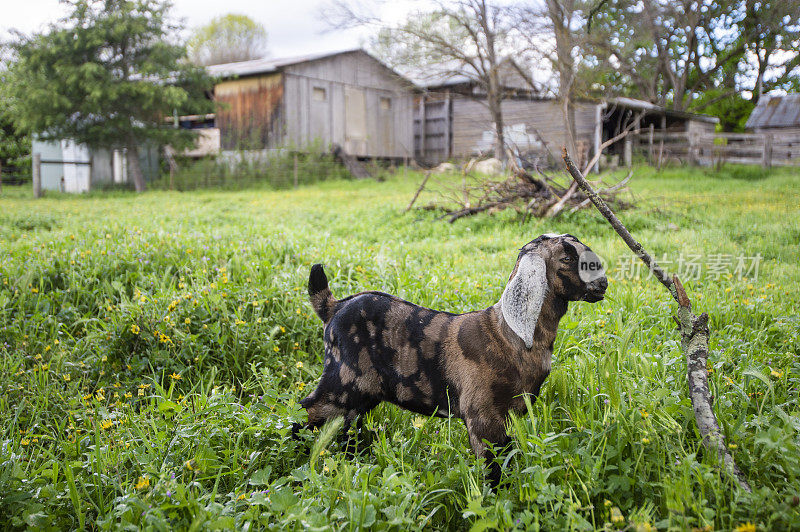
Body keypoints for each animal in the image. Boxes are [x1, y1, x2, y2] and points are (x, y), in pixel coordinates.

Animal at [298, 235, 608, 484]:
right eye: (567, 258)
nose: (603, 282)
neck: (506, 334)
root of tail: (333, 307)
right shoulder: (483, 417)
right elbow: (494, 470)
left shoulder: (512, 415)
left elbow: (508, 458)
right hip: (342, 382)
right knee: (305, 413)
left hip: (361, 394)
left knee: (346, 429)